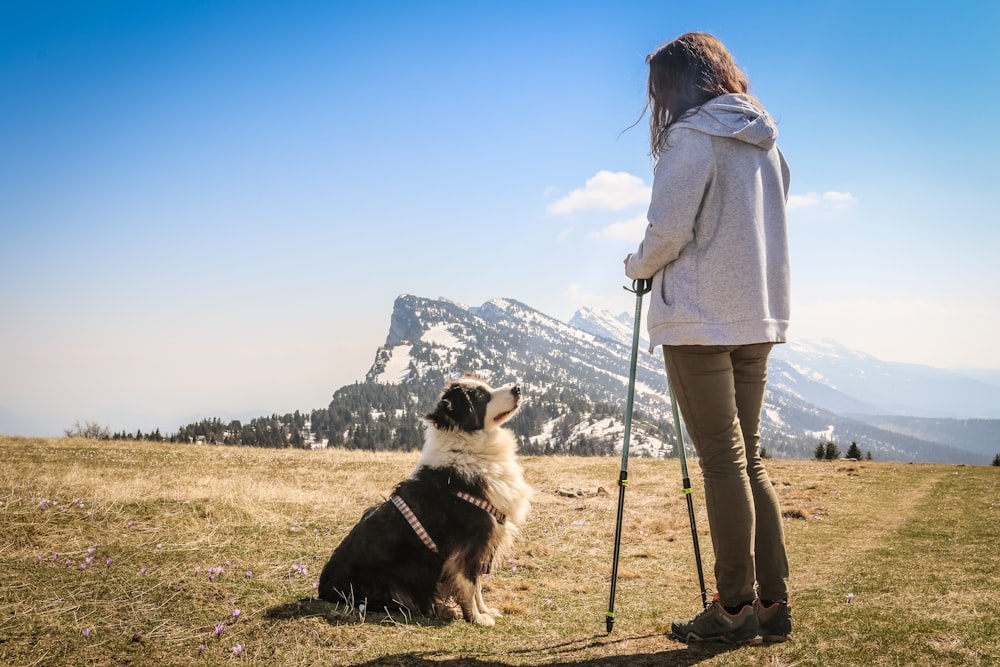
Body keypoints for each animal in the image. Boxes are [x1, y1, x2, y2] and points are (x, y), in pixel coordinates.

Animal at [318, 376, 532, 628]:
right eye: (481, 396)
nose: (518, 388)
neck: (466, 449)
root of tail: (324, 588)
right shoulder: (470, 543)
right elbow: (470, 584)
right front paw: (477, 618)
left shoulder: (482, 543)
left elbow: (478, 585)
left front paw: (485, 611)